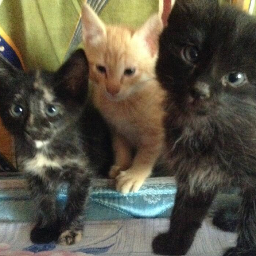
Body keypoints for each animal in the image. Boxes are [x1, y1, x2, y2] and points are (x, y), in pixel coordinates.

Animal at [0, 49, 113, 246]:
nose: (32, 129)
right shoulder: (34, 173)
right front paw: (46, 228)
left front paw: (70, 231)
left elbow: (76, 201)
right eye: (17, 109)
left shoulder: (82, 171)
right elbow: (43, 201)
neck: (46, 151)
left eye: (51, 109)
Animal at [81, 4, 166, 193]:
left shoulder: (156, 134)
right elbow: (121, 149)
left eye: (129, 72)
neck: (124, 104)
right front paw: (122, 165)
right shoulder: (116, 129)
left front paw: (134, 174)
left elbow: (145, 155)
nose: (112, 89)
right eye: (101, 69)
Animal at [152, 0, 256, 256]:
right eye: (191, 54)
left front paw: (246, 251)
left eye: (235, 77)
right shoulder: (196, 173)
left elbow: (253, 218)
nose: (199, 89)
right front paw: (174, 245)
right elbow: (185, 214)